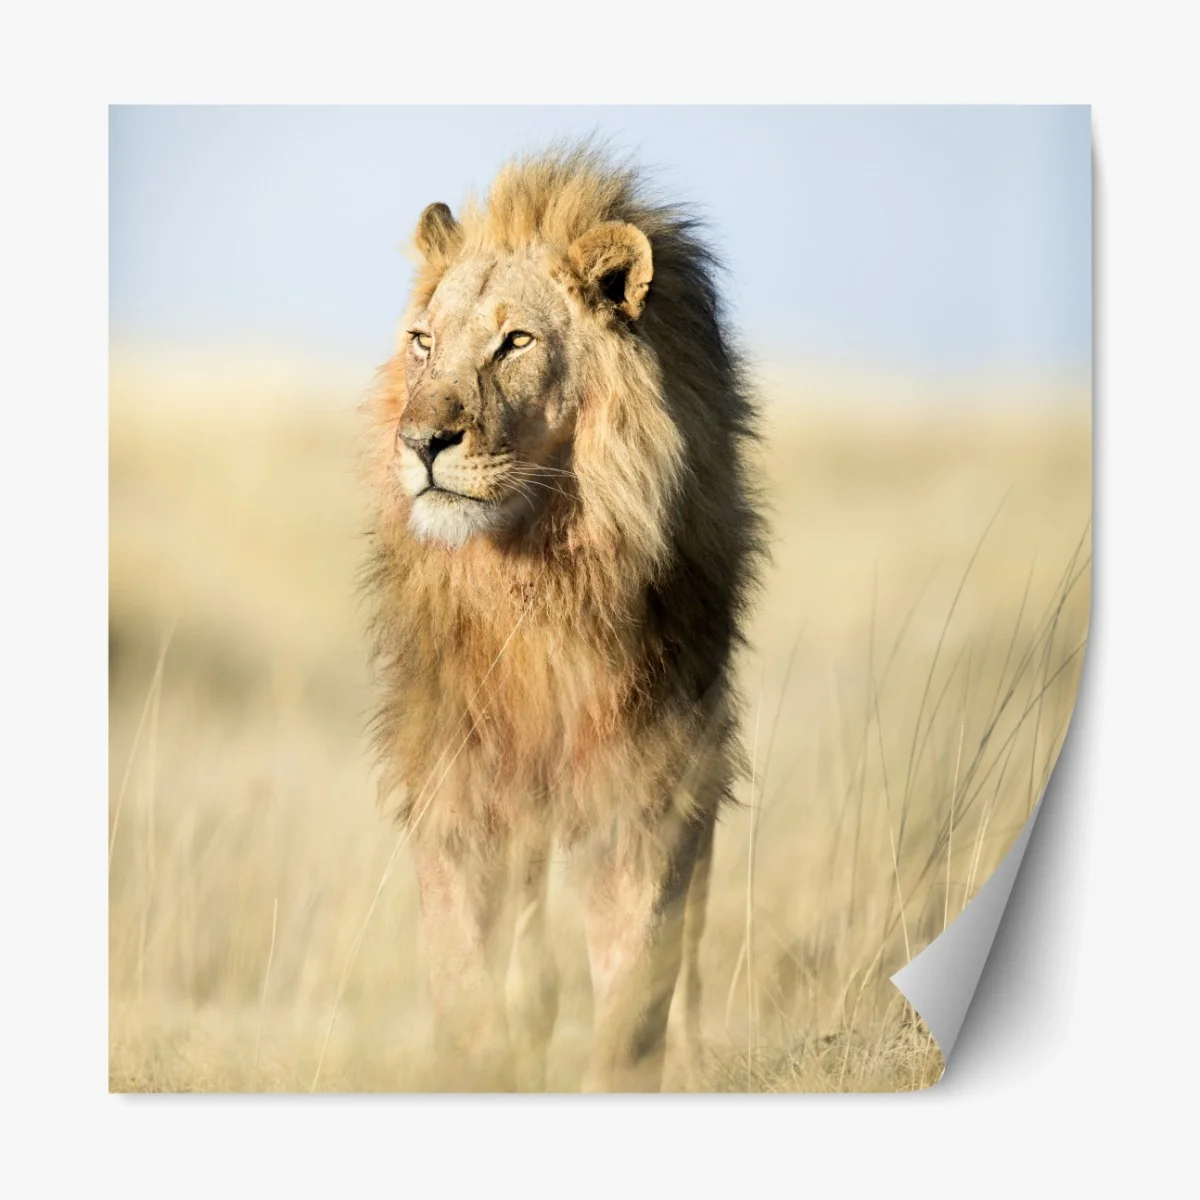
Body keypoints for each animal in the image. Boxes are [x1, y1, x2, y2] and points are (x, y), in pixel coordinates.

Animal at [364, 145, 765, 1092]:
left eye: (516, 342)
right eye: (423, 342)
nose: (421, 442)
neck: (538, 579)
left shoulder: (653, 782)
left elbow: (637, 987)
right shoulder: (458, 783)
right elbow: (468, 980)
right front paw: (479, 1069)